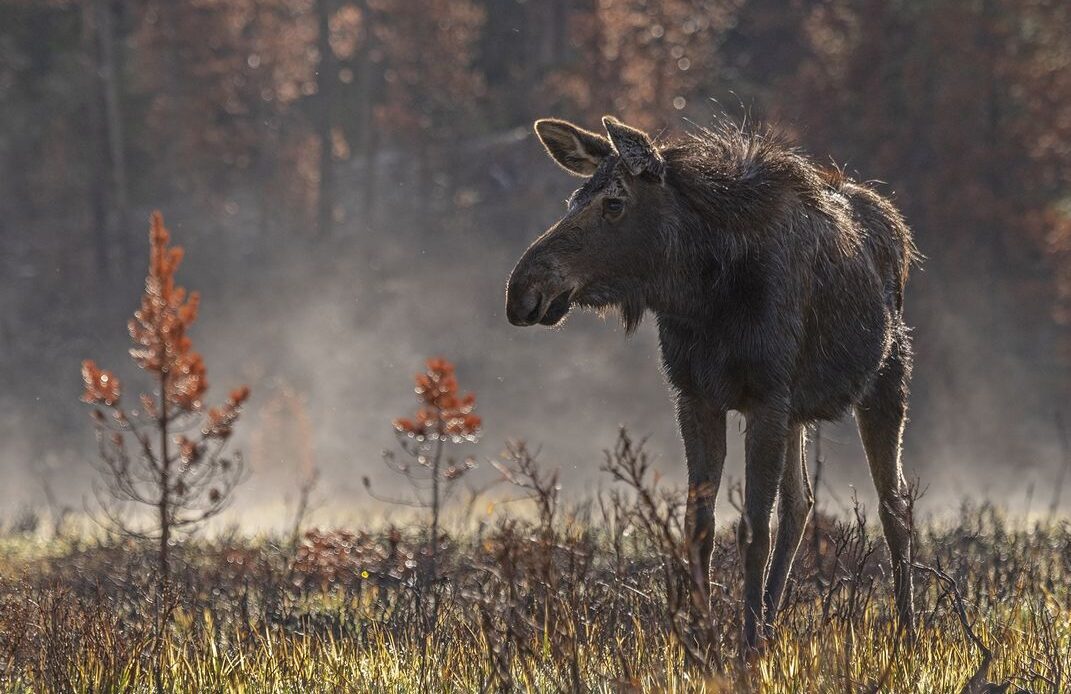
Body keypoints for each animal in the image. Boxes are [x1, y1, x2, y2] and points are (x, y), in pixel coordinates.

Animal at [507, 115, 921, 651]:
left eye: (614, 203)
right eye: (574, 198)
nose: (522, 290)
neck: (701, 293)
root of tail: (898, 230)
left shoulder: (766, 397)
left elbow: (752, 530)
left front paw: (745, 648)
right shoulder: (697, 396)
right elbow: (699, 526)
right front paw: (703, 640)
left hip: (886, 378)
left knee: (895, 505)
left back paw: (907, 632)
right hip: (798, 412)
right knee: (801, 504)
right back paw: (772, 624)